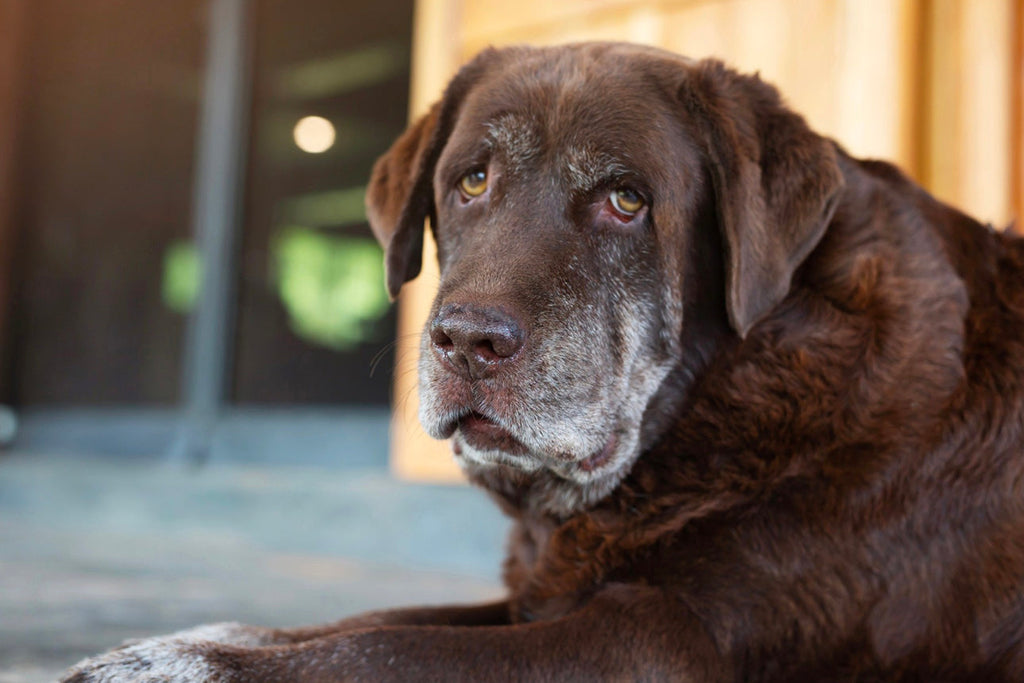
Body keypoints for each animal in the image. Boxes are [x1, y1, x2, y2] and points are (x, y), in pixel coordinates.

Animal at [64, 41, 1024, 683]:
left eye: (627, 200)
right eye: (472, 180)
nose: (466, 341)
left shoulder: (660, 637)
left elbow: (387, 649)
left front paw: (185, 663)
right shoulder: (546, 592)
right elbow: (374, 617)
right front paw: (202, 636)